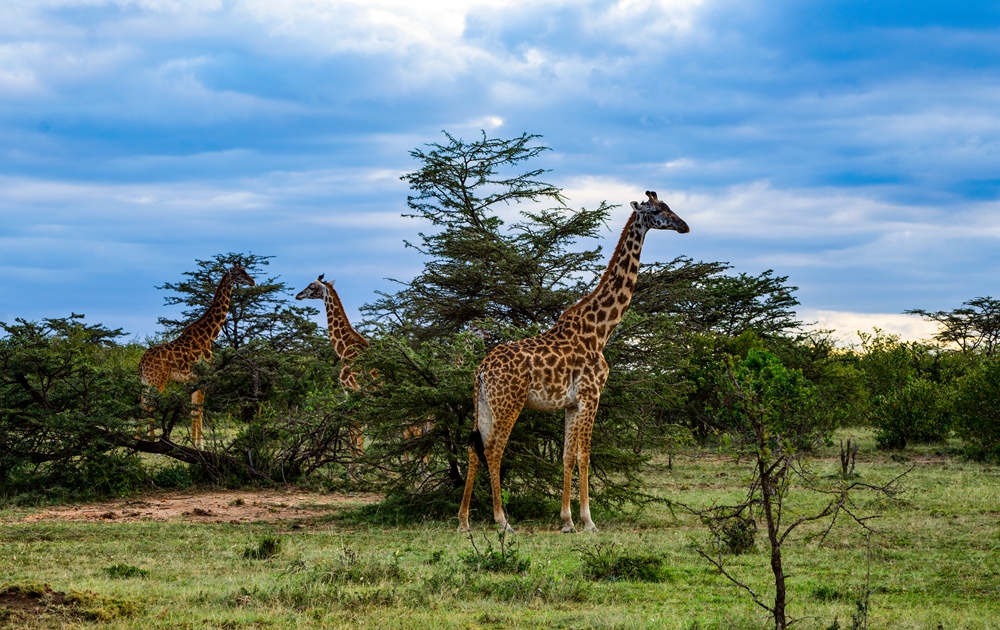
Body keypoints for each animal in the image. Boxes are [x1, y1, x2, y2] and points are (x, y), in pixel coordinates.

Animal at [139, 262, 256, 450]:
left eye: (246, 270)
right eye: (239, 274)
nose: (252, 281)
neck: (209, 336)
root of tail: (141, 361)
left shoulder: (195, 378)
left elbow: (194, 410)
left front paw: (195, 444)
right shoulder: (204, 376)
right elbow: (199, 409)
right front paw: (199, 445)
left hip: (145, 380)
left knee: (142, 405)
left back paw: (137, 438)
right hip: (158, 380)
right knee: (151, 407)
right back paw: (151, 442)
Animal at [458, 191, 688, 532]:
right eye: (658, 210)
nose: (684, 226)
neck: (600, 330)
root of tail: (482, 370)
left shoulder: (570, 404)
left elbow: (567, 456)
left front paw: (567, 520)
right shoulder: (591, 395)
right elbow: (584, 455)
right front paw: (588, 521)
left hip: (484, 404)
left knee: (474, 448)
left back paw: (463, 521)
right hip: (509, 403)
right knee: (494, 450)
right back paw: (502, 521)